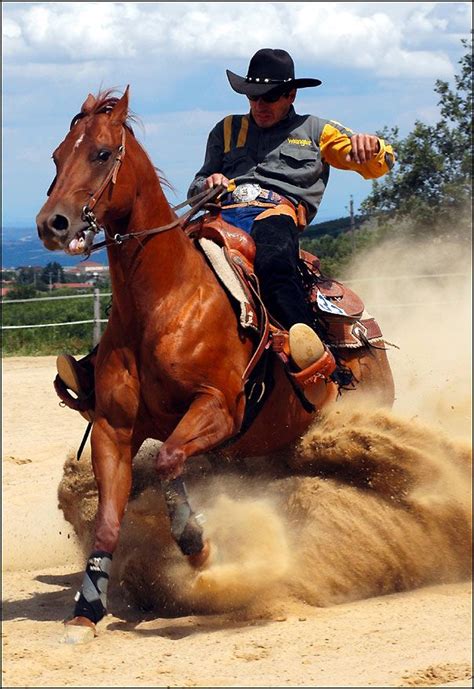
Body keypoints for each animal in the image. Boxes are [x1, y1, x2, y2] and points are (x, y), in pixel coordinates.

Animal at [35, 87, 394, 640]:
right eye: (56, 156)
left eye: (100, 153)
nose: (52, 224)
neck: (165, 301)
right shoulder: (114, 428)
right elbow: (111, 516)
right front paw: (86, 610)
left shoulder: (219, 408)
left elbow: (167, 459)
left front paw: (197, 547)